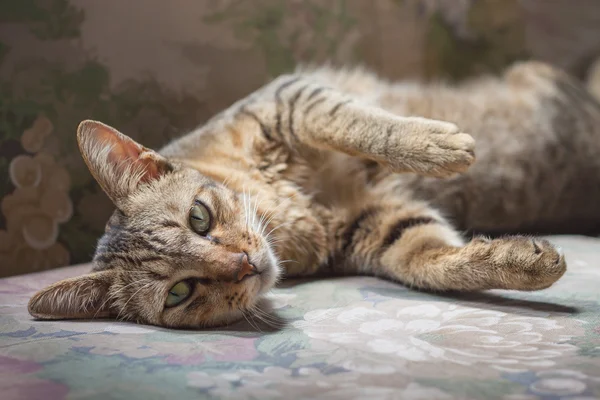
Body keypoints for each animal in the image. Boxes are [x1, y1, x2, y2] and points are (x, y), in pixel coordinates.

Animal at [24, 60, 600, 328]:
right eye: (180, 293)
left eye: (199, 218)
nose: (243, 264)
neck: (294, 215)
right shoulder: (383, 228)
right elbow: (437, 265)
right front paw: (522, 262)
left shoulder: (292, 99)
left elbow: (368, 127)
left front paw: (438, 147)